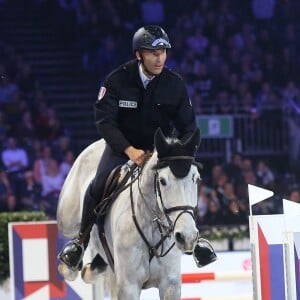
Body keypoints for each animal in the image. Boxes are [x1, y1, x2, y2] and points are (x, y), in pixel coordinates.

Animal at [56, 129, 202, 300]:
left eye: (196, 179)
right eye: (162, 181)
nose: (187, 237)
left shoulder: (170, 284)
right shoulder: (129, 286)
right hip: (67, 219)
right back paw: (71, 258)